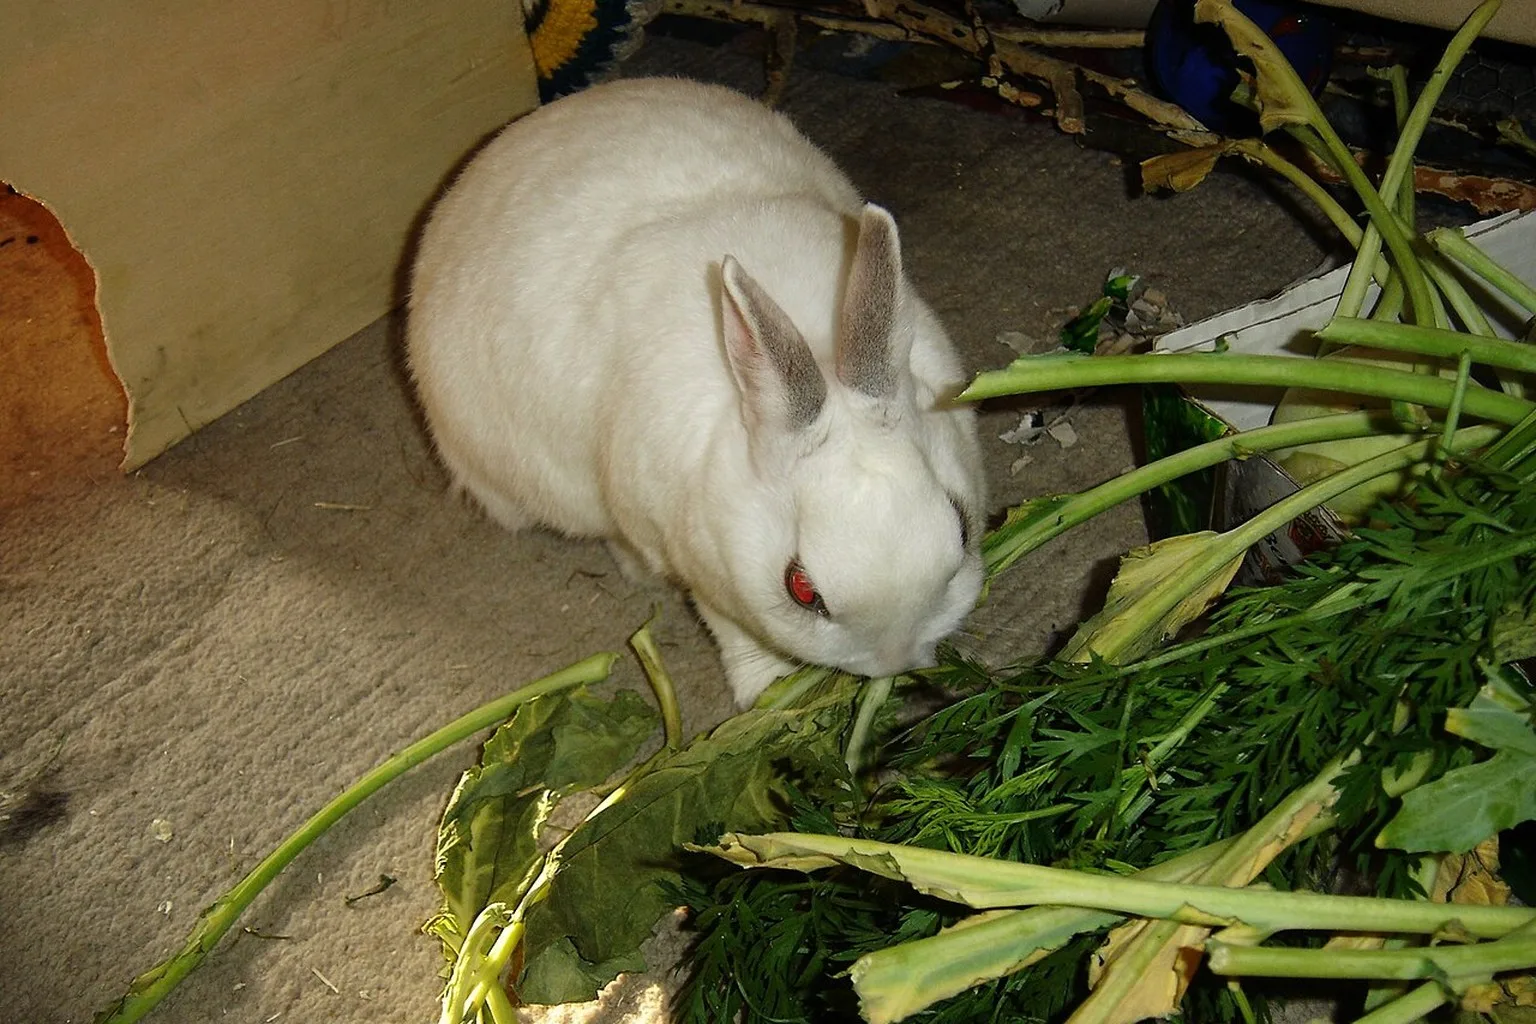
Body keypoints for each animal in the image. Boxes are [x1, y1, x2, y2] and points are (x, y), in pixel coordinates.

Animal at [406, 77, 987, 707]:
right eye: (801, 590)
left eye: (962, 529)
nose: (893, 662)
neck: (819, 352)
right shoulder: (701, 573)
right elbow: (733, 632)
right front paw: (764, 692)